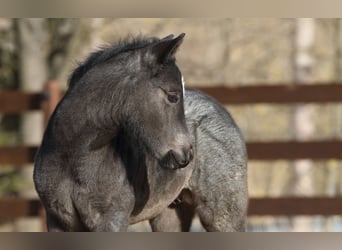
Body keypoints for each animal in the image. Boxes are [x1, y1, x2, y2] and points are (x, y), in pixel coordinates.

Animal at [34, 33, 248, 232]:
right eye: (173, 96)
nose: (186, 154)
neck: (73, 159)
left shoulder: (112, 218)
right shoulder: (58, 221)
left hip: (223, 214)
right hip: (169, 213)